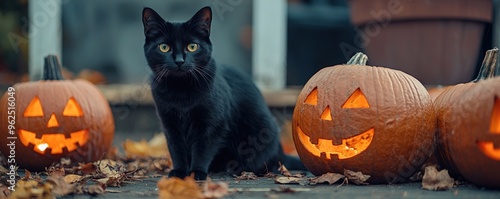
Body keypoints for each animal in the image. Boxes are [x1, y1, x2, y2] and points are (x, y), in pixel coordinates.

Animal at [141, 6, 304, 180]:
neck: (181, 91)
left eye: (192, 46)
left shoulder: (212, 125)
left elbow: (202, 149)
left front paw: (197, 172)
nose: (179, 61)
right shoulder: (170, 124)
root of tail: (281, 153)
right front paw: (179, 172)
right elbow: (176, 149)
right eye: (164, 47)